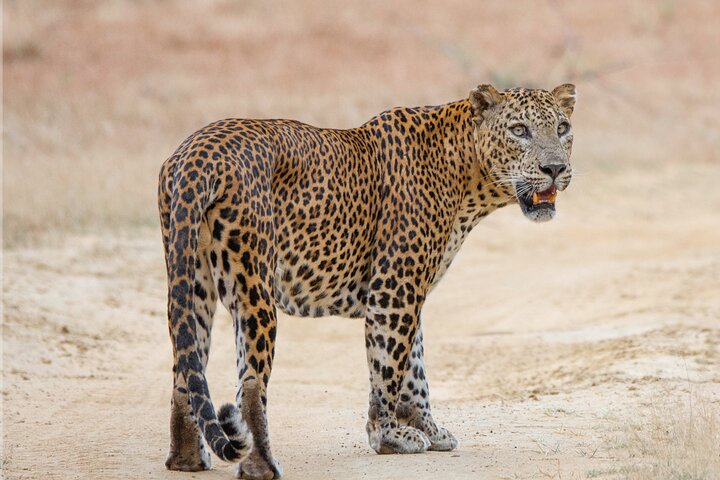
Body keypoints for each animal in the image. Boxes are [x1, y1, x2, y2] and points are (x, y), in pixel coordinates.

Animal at [158, 83, 576, 479]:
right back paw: (260, 465)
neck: (467, 175)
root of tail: (197, 153)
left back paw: (187, 459)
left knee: (185, 364)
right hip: (252, 283)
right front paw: (388, 436)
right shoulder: (396, 286)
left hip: (192, 279)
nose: (555, 168)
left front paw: (428, 430)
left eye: (562, 128)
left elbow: (415, 366)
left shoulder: (407, 288)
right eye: (519, 130)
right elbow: (389, 362)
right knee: (250, 381)